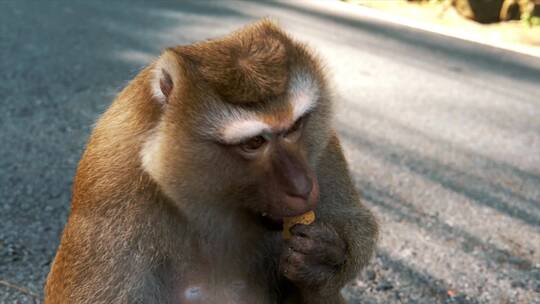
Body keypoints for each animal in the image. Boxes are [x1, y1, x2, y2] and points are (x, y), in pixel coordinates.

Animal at [44, 19, 378, 304]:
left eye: (295, 127)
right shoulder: (113, 179)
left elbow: (358, 221)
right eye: (253, 143)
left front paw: (323, 260)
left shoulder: (323, 149)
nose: (302, 187)